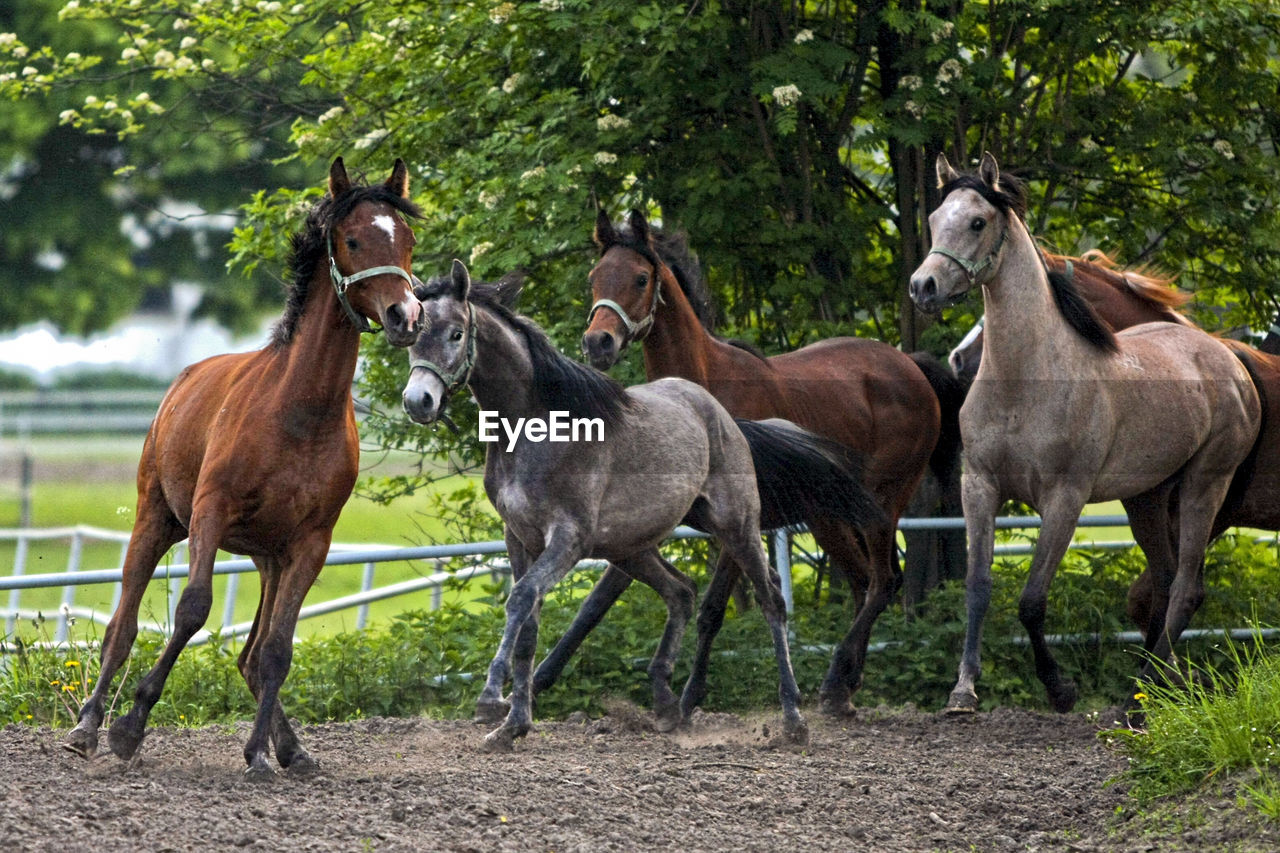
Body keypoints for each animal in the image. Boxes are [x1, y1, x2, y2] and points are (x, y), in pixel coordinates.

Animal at [63, 156, 424, 773]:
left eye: (407, 239)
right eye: (353, 239)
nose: (407, 315)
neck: (299, 412)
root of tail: (181, 381)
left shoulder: (310, 544)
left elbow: (277, 650)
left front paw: (262, 753)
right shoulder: (210, 513)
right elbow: (193, 610)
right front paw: (130, 727)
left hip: (267, 558)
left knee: (252, 656)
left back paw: (288, 748)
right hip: (157, 519)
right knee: (121, 627)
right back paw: (87, 727)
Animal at [404, 262, 885, 747]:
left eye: (456, 333)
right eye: (412, 336)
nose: (418, 402)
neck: (535, 428)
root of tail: (727, 419)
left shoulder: (568, 539)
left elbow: (520, 600)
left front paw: (490, 701)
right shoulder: (519, 539)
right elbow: (528, 624)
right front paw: (514, 724)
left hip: (736, 526)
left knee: (771, 598)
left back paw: (792, 716)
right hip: (630, 548)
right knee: (682, 592)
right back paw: (668, 704)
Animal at [563, 206, 962, 712]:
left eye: (639, 278)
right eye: (595, 277)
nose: (598, 343)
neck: (704, 390)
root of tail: (912, 367)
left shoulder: (739, 523)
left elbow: (713, 607)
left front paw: (690, 697)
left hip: (882, 503)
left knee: (884, 581)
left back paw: (836, 679)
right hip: (829, 516)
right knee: (863, 581)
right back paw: (846, 684)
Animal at [911, 151, 1259, 712]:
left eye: (978, 222)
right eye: (935, 218)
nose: (923, 287)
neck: (1025, 381)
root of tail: (1228, 358)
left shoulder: (1064, 498)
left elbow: (1032, 600)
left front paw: (1060, 688)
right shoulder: (979, 485)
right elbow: (978, 586)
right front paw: (962, 691)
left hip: (1206, 485)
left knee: (1186, 587)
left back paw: (1144, 694)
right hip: (1146, 497)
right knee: (1165, 583)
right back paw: (1153, 687)